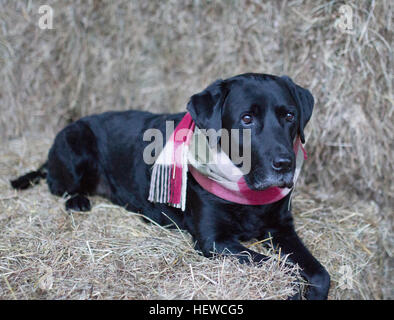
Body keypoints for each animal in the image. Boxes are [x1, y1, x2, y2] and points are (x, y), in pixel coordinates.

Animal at [10, 74, 330, 298]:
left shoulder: (282, 227)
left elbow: (319, 273)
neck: (246, 190)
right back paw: (77, 200)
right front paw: (292, 288)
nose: (285, 163)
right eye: (247, 119)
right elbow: (282, 268)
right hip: (76, 142)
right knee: (57, 185)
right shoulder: (215, 240)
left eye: (289, 115)